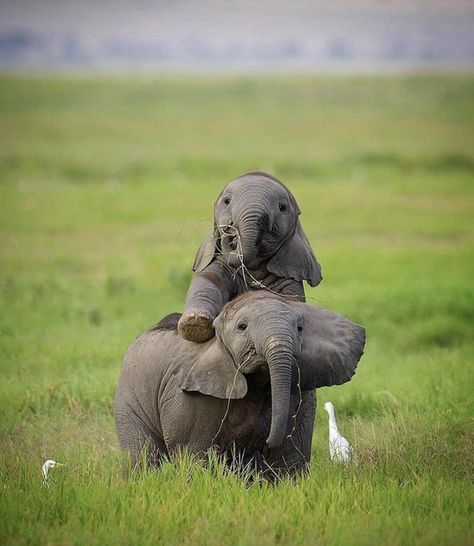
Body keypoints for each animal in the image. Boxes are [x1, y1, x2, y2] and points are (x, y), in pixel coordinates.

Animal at [113, 288, 364, 476]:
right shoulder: (190, 396)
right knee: (143, 456)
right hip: (128, 398)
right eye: (242, 327)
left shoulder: (301, 394)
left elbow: (289, 456)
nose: (266, 440)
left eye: (300, 328)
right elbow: (194, 454)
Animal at [178, 170, 322, 340]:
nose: (229, 230)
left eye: (282, 207)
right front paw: (195, 324)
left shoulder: (289, 274)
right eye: (227, 201)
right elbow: (208, 281)